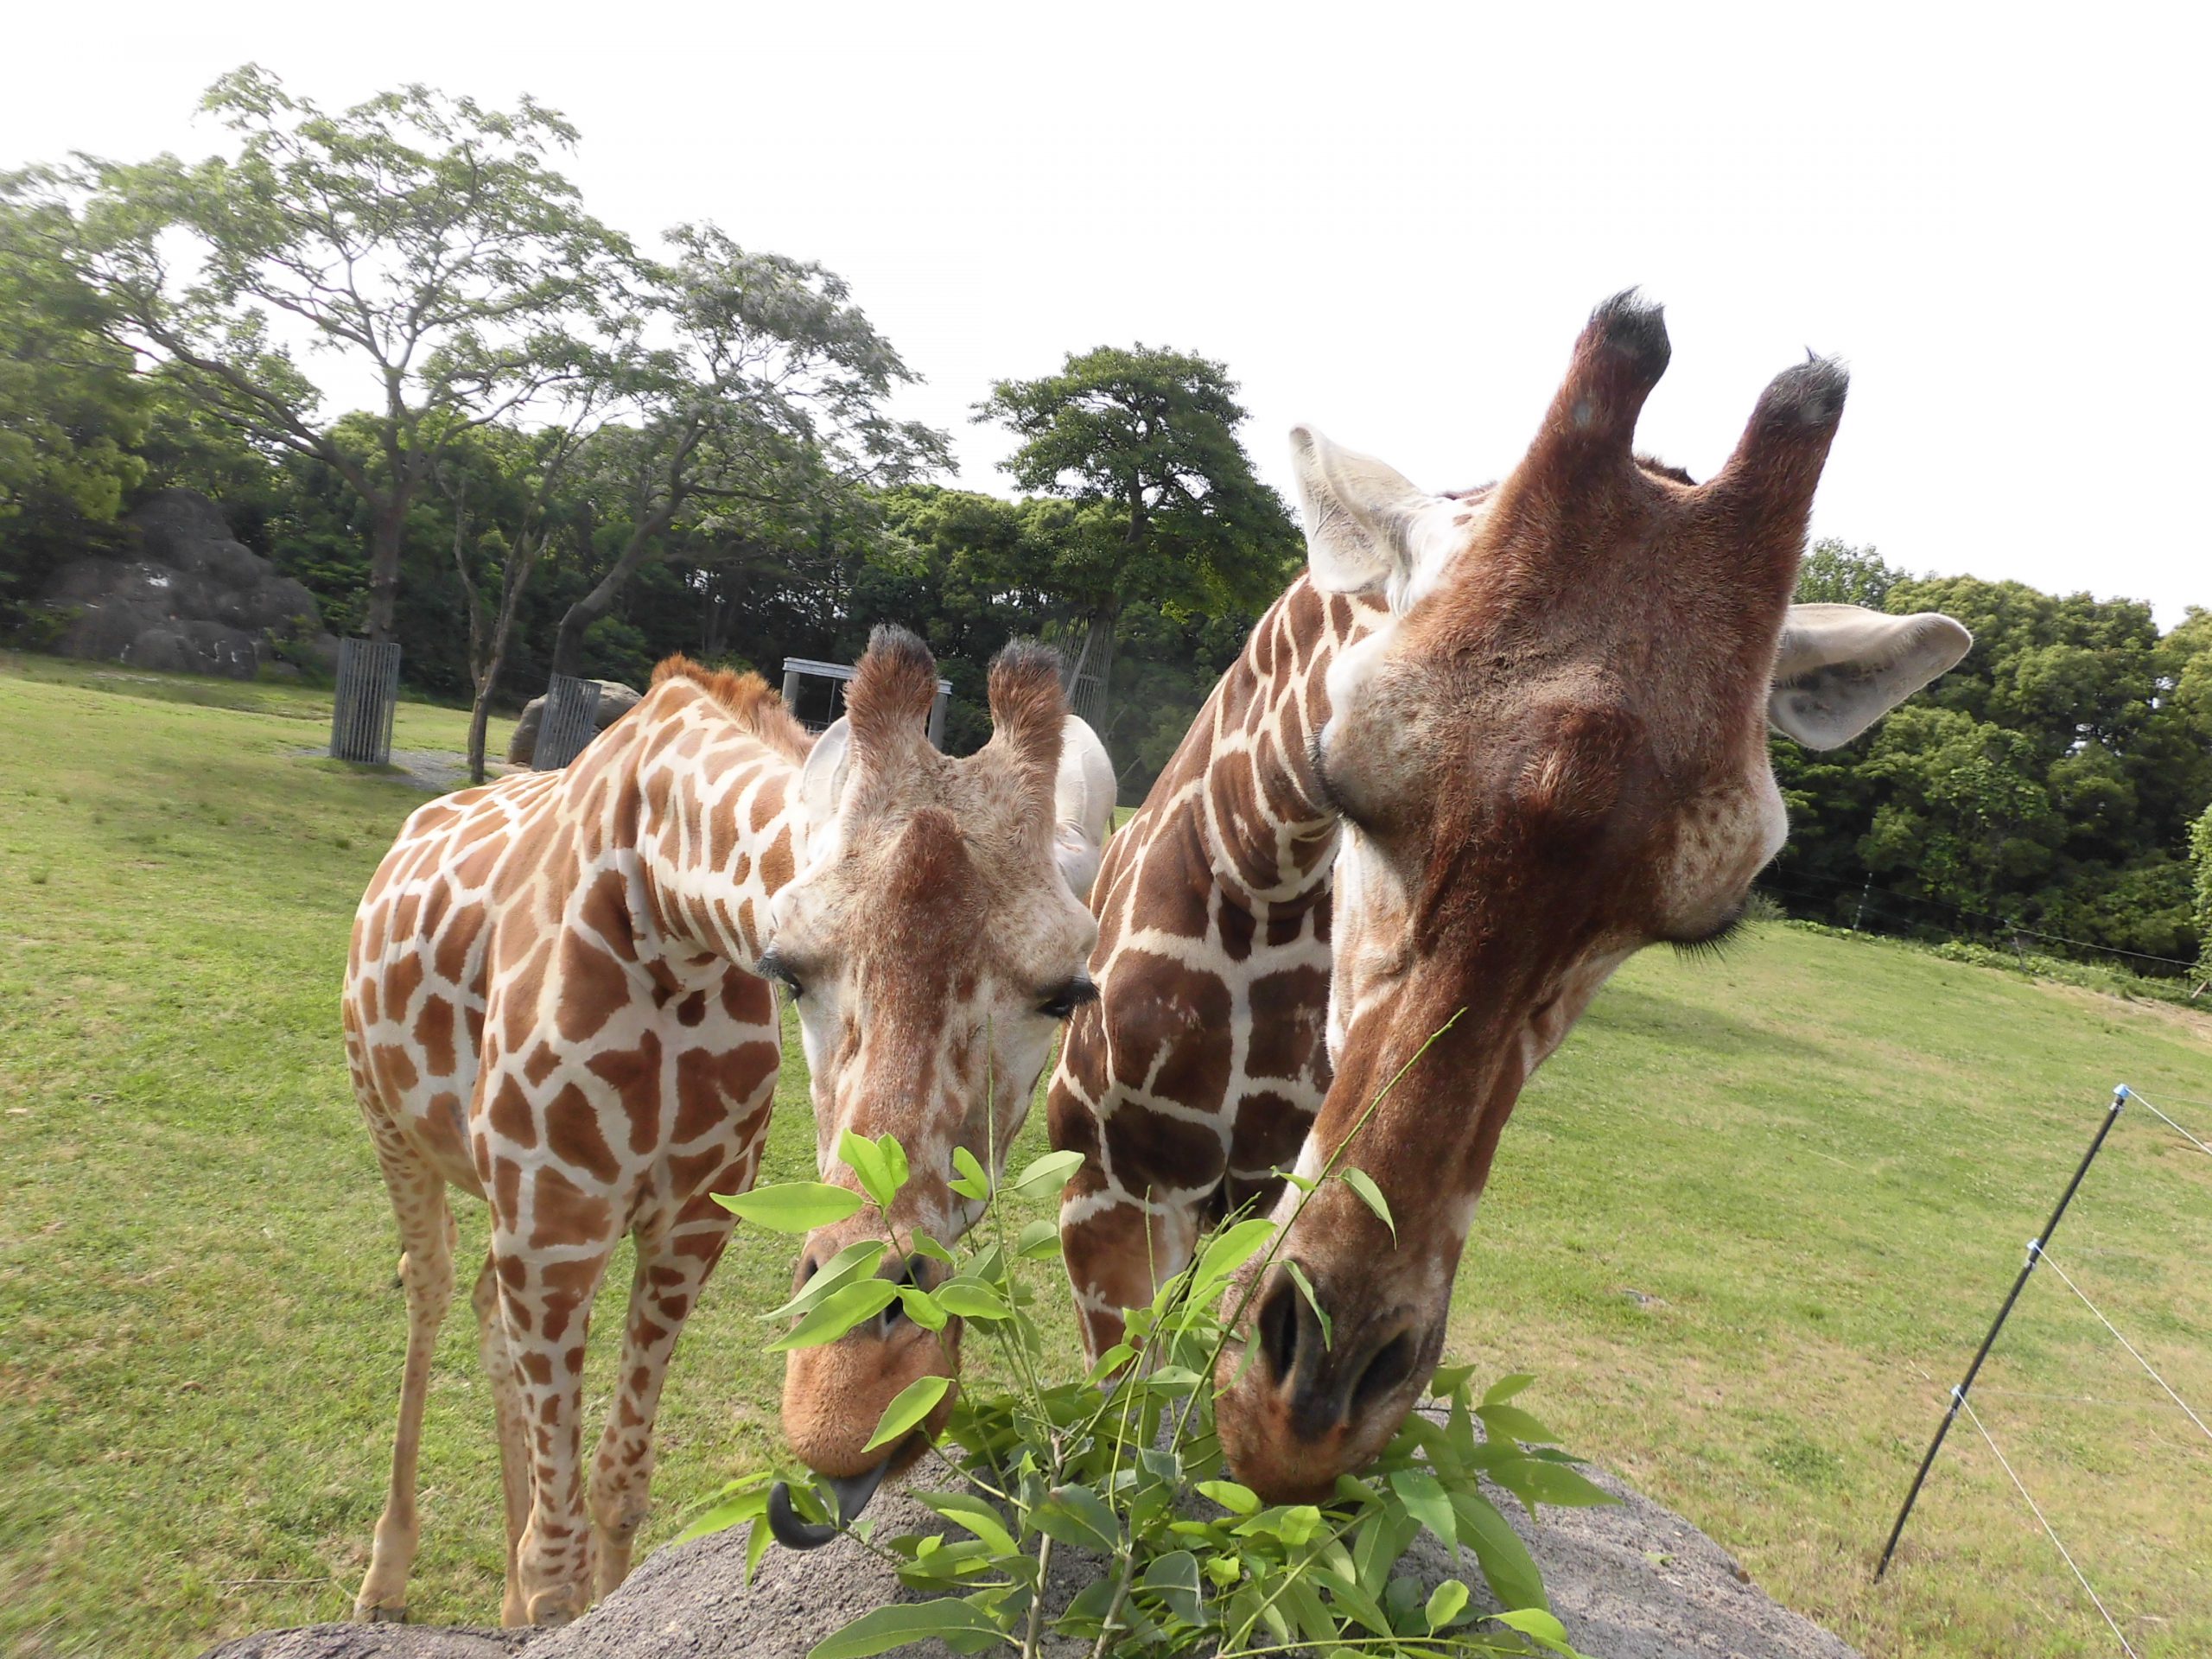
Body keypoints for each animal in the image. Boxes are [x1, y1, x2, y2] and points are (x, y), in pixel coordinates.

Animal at [342, 628, 1115, 1628]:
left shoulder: (686, 1227)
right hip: (395, 1130)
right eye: (786, 970)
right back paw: (385, 1580)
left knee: (483, 1313)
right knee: (429, 1290)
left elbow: (617, 1483)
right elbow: (558, 1558)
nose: (849, 1404)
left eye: (1065, 995)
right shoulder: (553, 1227)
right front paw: (535, 1600)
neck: (670, 918)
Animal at [1044, 296, 1981, 1503]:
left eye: (1701, 921)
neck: (1268, 898)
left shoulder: (1248, 1196)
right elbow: (1112, 1433)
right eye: (1338, 776)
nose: (1310, 1413)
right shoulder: (1110, 1181)